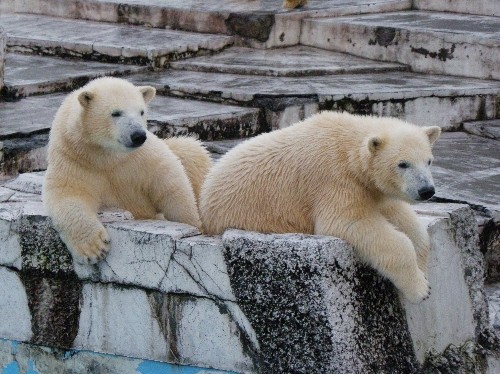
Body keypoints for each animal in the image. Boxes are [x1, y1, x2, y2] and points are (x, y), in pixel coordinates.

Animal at [43, 76, 213, 262]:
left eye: (141, 112)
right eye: (116, 113)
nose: (138, 135)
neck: (106, 157)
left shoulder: (143, 158)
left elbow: (171, 185)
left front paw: (194, 225)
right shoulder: (74, 160)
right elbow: (69, 195)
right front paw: (95, 248)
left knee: (190, 151)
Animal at [200, 109, 442, 302]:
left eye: (428, 161)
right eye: (403, 164)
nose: (426, 190)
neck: (348, 145)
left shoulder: (369, 189)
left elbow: (401, 217)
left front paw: (423, 270)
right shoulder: (335, 181)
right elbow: (348, 223)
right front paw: (420, 289)